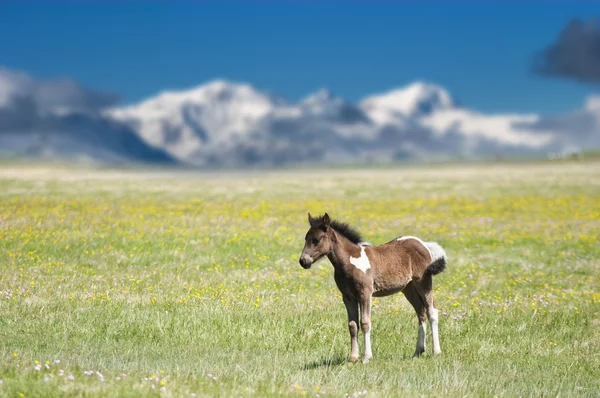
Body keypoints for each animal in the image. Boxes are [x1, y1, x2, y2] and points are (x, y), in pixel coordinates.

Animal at [300, 213, 446, 362]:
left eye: (316, 240)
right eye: (306, 238)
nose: (303, 261)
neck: (350, 261)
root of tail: (424, 244)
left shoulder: (365, 293)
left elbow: (365, 323)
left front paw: (366, 357)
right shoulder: (348, 297)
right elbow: (352, 325)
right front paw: (353, 357)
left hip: (423, 282)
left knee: (432, 311)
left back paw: (436, 351)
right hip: (408, 288)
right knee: (421, 312)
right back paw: (418, 351)